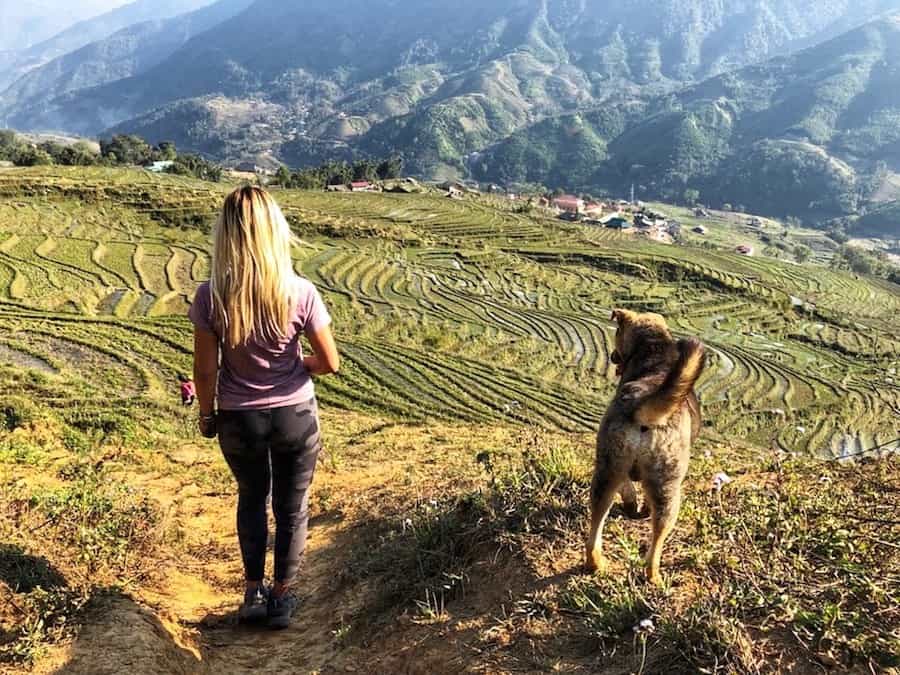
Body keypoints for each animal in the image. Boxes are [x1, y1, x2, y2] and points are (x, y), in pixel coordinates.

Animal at [588, 308, 708, 584]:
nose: (613, 357)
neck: (654, 347)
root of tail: (643, 406)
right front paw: (639, 508)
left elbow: (629, 488)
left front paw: (633, 505)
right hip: (669, 487)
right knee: (657, 541)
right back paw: (654, 577)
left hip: (608, 465)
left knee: (597, 518)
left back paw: (594, 562)